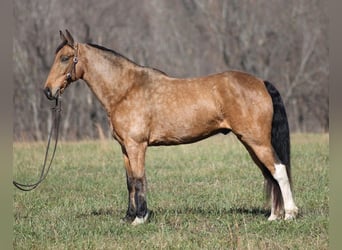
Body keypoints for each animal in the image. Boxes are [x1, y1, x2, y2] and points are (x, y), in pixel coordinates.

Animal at [44, 30, 298, 226]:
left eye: (65, 58)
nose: (48, 91)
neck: (125, 89)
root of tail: (261, 82)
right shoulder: (125, 148)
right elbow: (129, 182)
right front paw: (128, 217)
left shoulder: (137, 146)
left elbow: (139, 179)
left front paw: (140, 218)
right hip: (251, 143)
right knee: (269, 174)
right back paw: (274, 216)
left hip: (257, 141)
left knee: (278, 170)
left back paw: (289, 215)